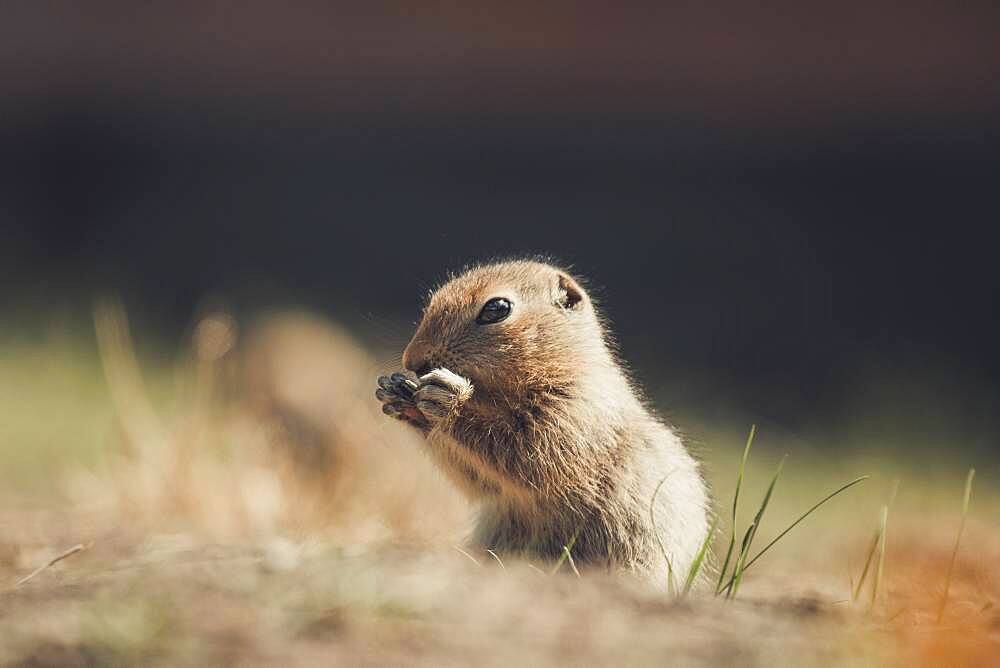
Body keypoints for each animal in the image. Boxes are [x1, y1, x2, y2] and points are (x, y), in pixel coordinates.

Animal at [376, 260, 712, 584]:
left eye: (496, 308)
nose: (411, 360)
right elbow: (480, 481)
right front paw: (397, 393)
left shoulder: (573, 412)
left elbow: (525, 453)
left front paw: (449, 399)